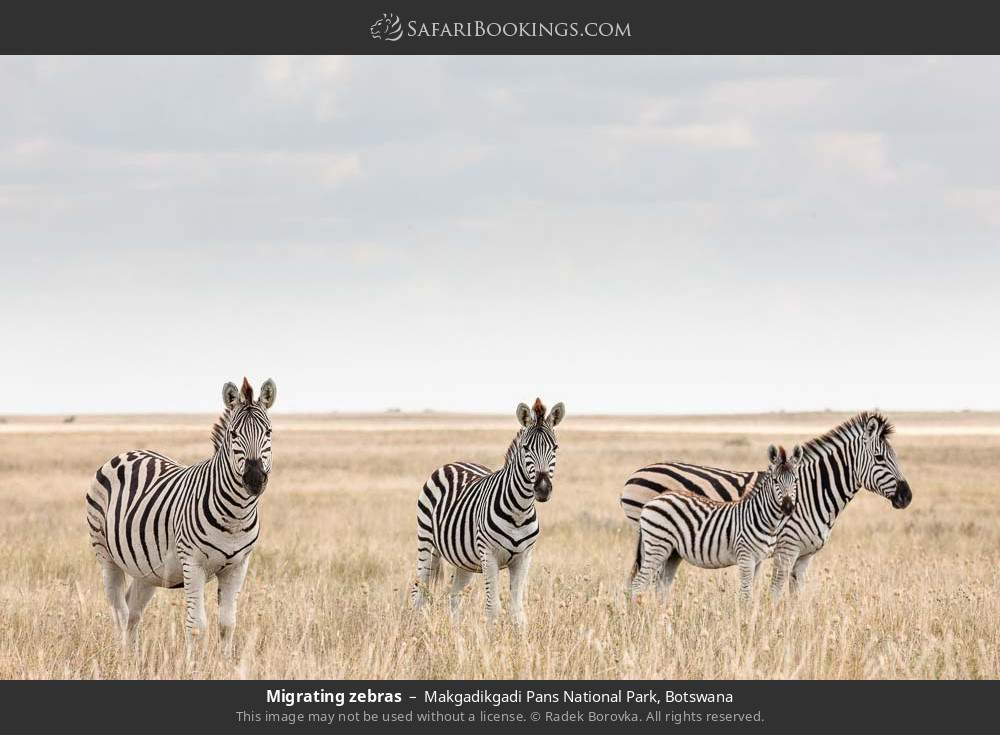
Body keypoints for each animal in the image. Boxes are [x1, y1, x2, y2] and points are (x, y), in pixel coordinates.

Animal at [82, 376, 276, 652]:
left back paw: (134, 657)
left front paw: (225, 661)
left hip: (146, 569)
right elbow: (197, 626)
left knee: (133, 612)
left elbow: (227, 625)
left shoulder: (238, 566)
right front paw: (193, 662)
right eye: (233, 434)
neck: (235, 516)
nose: (254, 479)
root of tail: (126, 453)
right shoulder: (192, 563)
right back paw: (122, 657)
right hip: (105, 554)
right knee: (120, 611)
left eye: (268, 432)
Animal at [406, 400, 564, 624]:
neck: (520, 511)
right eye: (526, 448)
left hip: (463, 560)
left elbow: (517, 610)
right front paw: (491, 634)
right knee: (419, 591)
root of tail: (452, 463)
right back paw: (415, 626)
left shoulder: (524, 557)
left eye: (555, 447)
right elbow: (493, 608)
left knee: (453, 594)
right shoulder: (489, 556)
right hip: (426, 543)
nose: (542, 489)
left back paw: (456, 631)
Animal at [620, 412, 916, 600]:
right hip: (654, 540)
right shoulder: (787, 548)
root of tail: (634, 474)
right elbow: (775, 592)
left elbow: (796, 596)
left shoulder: (805, 555)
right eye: (879, 458)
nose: (907, 496)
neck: (813, 491)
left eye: (895, 456)